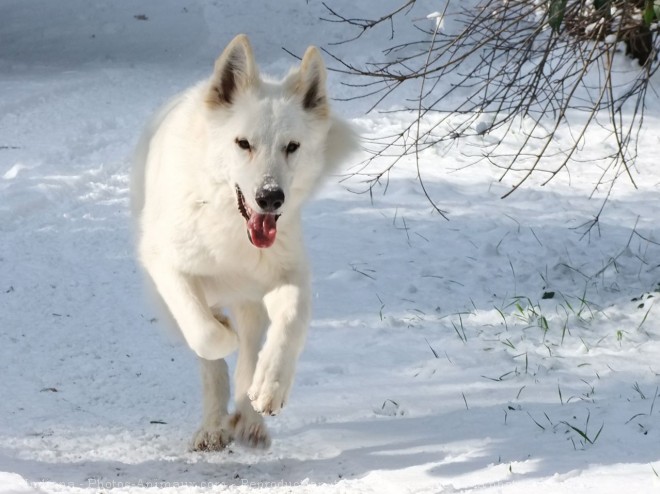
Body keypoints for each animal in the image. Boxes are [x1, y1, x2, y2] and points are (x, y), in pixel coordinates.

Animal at [130, 35, 356, 452]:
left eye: (292, 146)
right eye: (243, 143)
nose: (270, 197)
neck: (232, 230)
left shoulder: (289, 276)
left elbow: (288, 326)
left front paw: (269, 387)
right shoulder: (169, 268)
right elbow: (206, 336)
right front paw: (222, 334)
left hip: (253, 301)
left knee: (251, 348)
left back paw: (250, 415)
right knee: (211, 355)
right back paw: (214, 426)